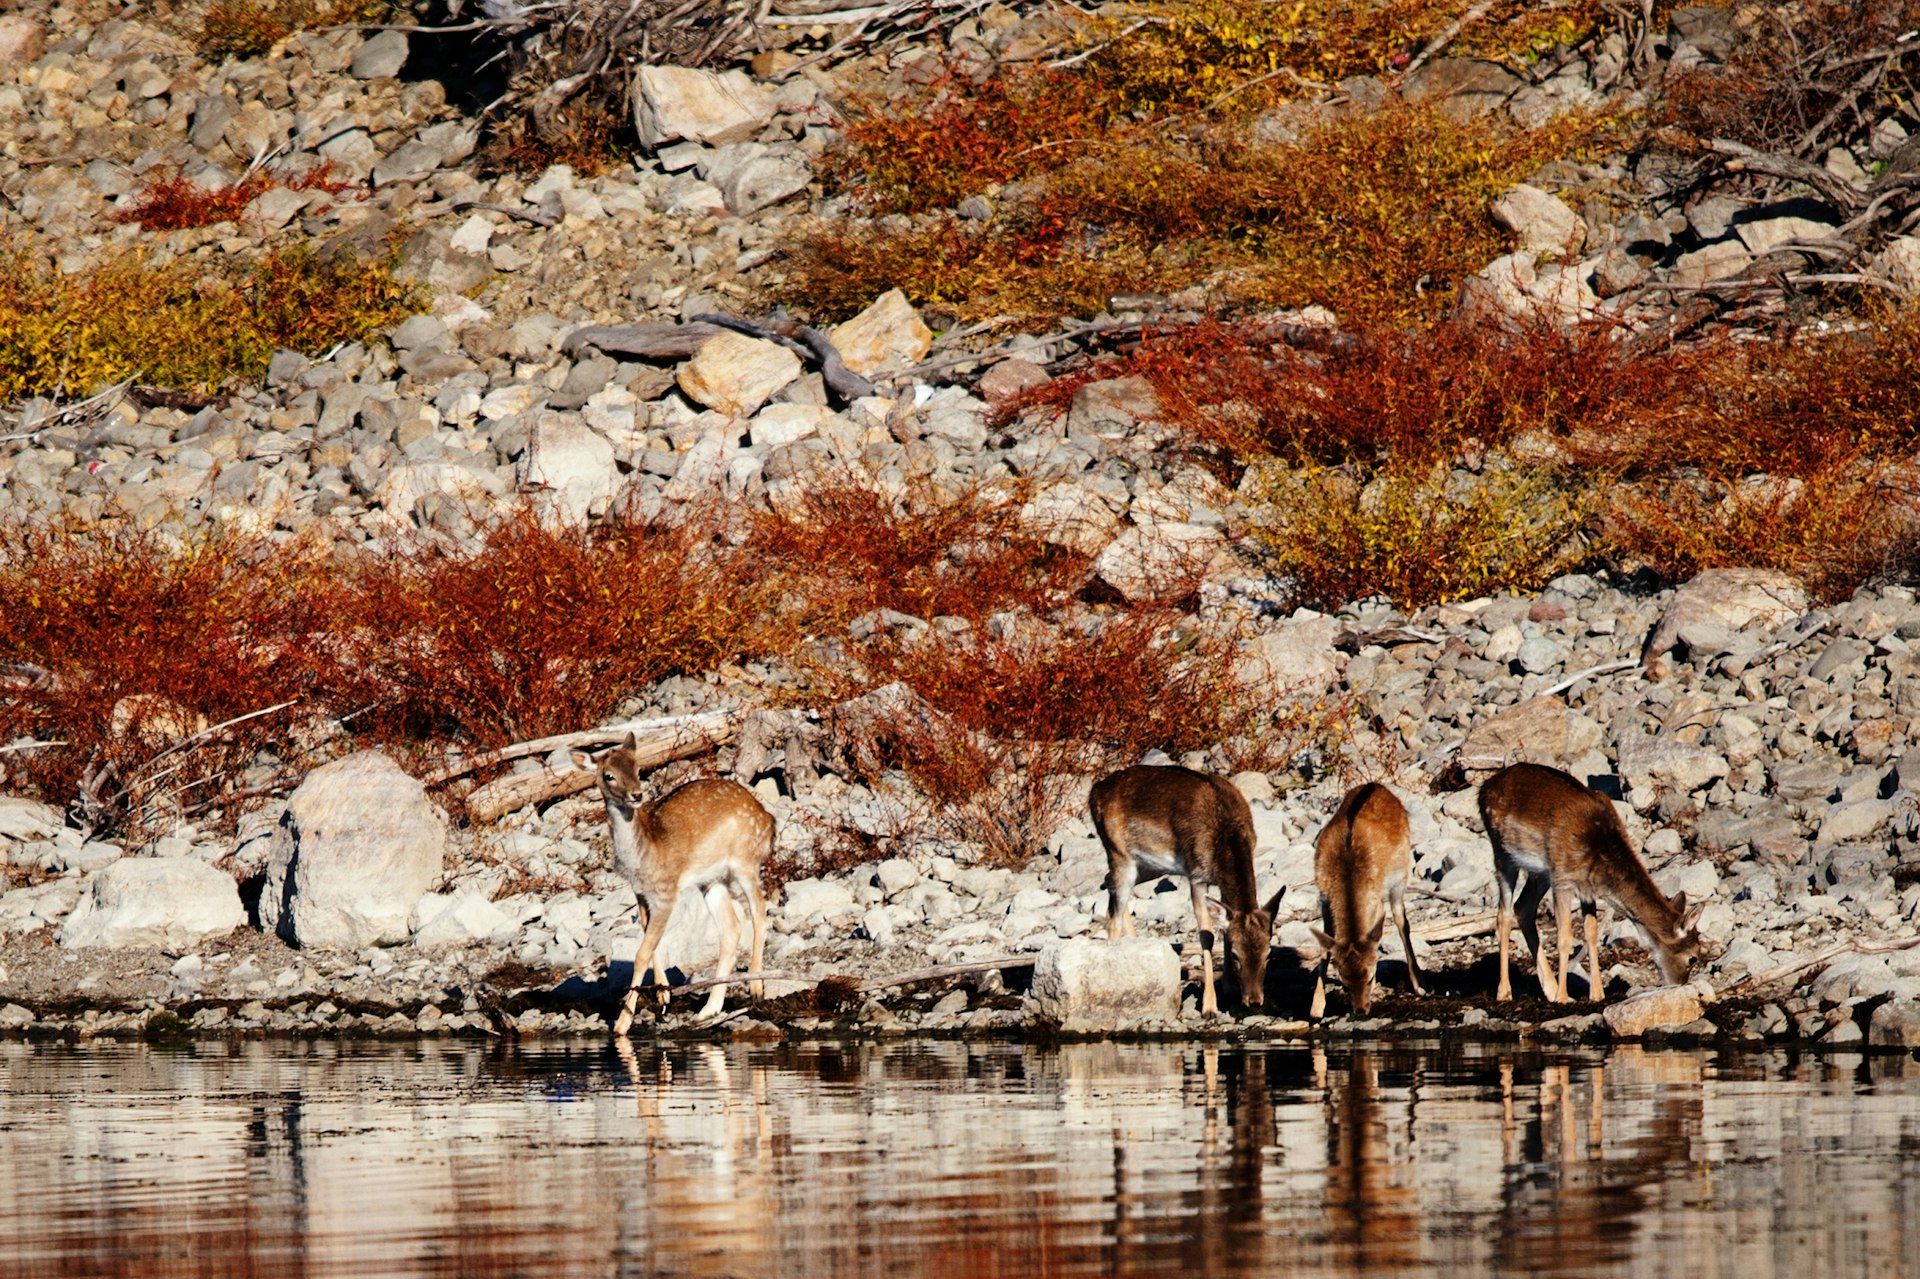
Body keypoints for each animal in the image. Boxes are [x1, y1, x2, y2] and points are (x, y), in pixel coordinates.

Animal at [568, 733, 771, 1029]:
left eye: (638, 768)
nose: (637, 795)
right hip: (712, 879)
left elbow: (641, 953)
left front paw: (621, 1025)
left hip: (746, 859)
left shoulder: (666, 891)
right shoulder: (640, 893)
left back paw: (756, 987)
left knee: (759, 908)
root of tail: (769, 819)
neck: (640, 858)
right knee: (732, 927)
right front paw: (663, 994)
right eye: (609, 775)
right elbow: (649, 940)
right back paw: (709, 1009)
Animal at [1090, 756, 1282, 1013]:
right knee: (1112, 917)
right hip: (1118, 852)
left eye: (1268, 953)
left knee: (1108, 883)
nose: (1253, 1001)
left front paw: (1228, 988)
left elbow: (1224, 927)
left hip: (1148, 866)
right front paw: (1209, 1007)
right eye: (1235, 955)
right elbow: (1207, 934)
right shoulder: (1196, 875)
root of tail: (1095, 792)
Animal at [1305, 775, 1428, 1013]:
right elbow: (1325, 947)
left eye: (1370, 978)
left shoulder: (1377, 903)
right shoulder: (1323, 899)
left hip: (1401, 876)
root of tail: (1375, 785)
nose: (1361, 1011)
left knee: (1401, 920)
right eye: (1344, 982)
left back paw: (1419, 984)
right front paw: (1316, 1008)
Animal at [1474, 760, 1704, 998]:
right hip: (1503, 852)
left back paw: (1549, 988)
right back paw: (1505, 992)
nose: (1680, 984)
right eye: (1693, 957)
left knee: (1523, 908)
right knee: (1503, 914)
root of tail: (1485, 787)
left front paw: (1597, 994)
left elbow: (1591, 933)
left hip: (1540, 873)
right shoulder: (1563, 879)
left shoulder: (1587, 888)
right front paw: (1562, 998)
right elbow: (1564, 938)